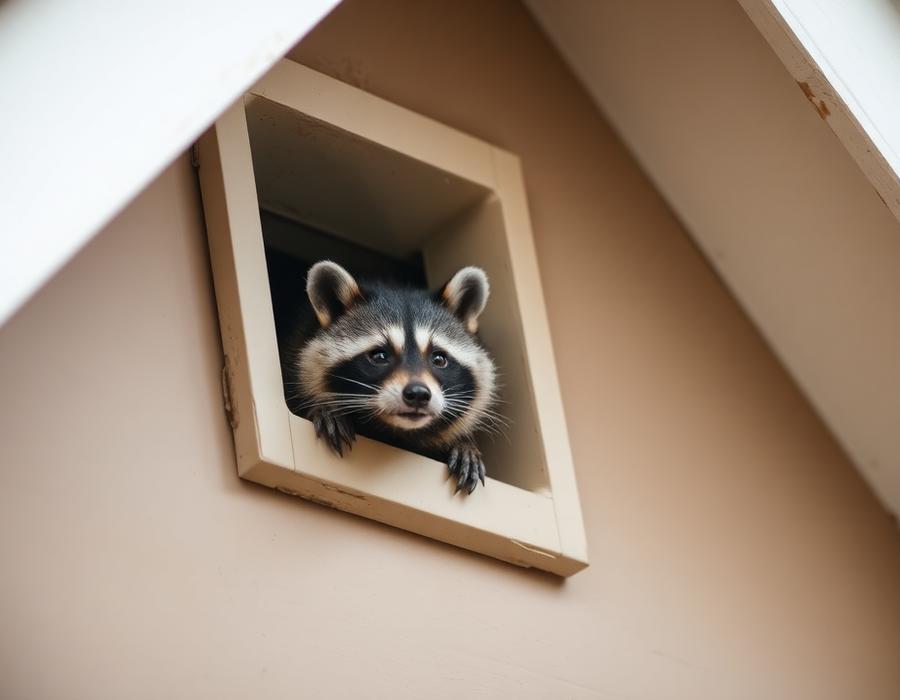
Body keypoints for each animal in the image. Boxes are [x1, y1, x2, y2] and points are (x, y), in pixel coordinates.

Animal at [282, 260, 498, 494]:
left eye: (439, 359)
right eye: (380, 356)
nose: (418, 394)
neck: (395, 433)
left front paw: (464, 442)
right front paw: (324, 409)